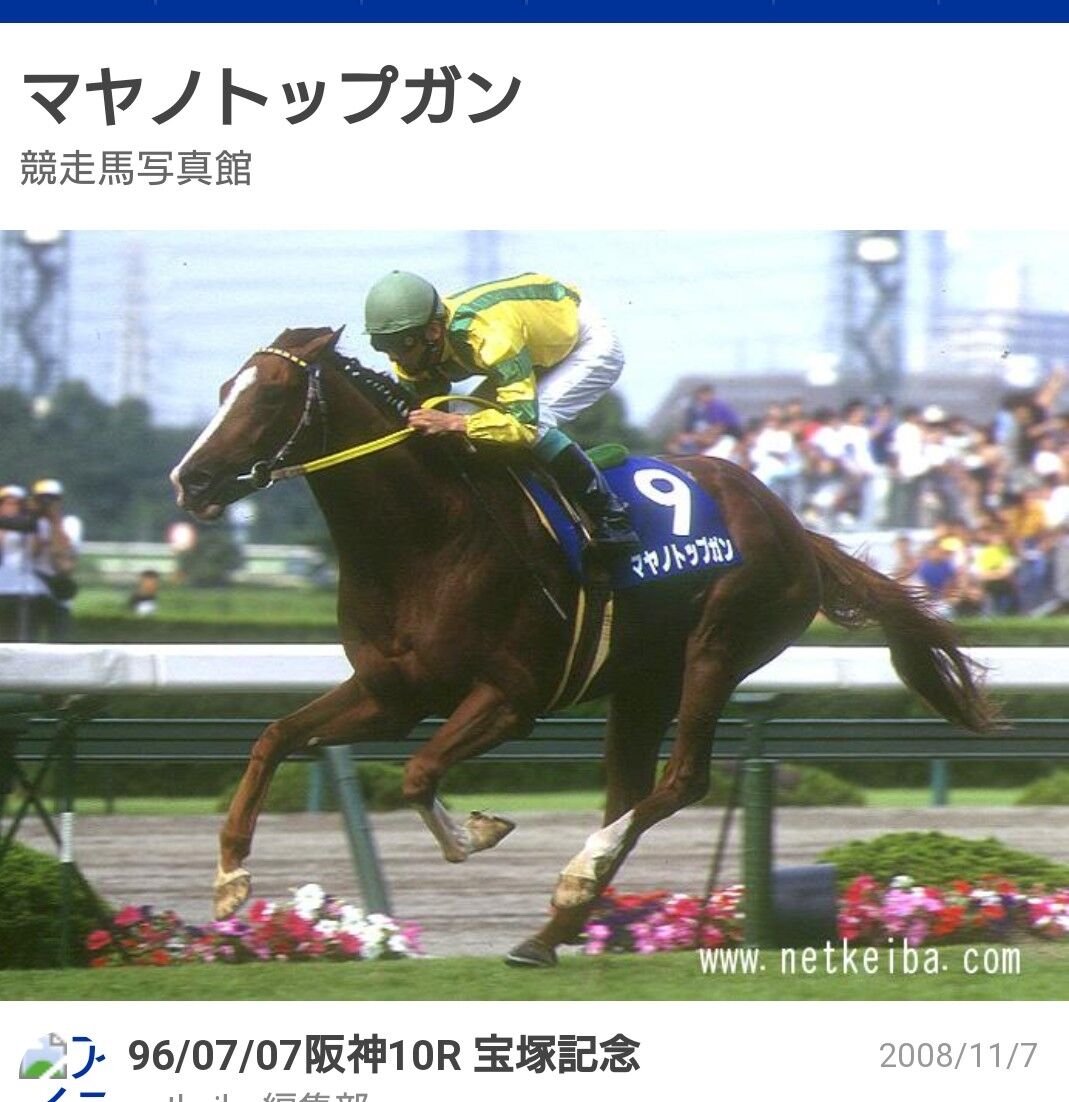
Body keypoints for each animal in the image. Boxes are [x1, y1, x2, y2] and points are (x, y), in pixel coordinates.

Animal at [170, 327, 998, 967]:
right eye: (224, 387)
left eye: (270, 395)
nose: (191, 479)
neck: (424, 537)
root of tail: (793, 524)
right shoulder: (392, 693)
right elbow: (274, 738)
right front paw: (229, 883)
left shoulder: (510, 698)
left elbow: (416, 772)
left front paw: (476, 832)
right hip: (641, 683)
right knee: (627, 792)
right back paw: (546, 935)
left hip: (718, 648)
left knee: (681, 781)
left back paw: (575, 876)